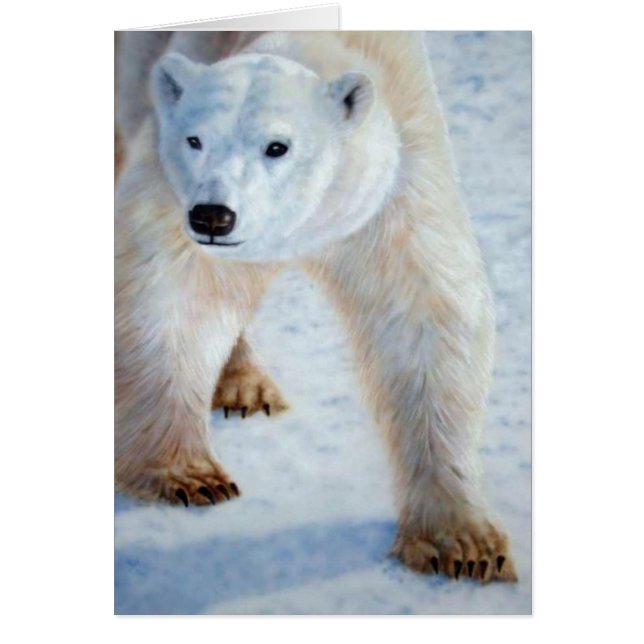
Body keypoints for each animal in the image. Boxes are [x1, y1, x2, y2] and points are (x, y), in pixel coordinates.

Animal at [115, 30, 517, 583]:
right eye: (194, 140)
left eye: (277, 147)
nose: (213, 216)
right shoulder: (169, 186)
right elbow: (170, 294)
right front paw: (188, 476)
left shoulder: (395, 182)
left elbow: (424, 312)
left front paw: (463, 545)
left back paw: (245, 386)